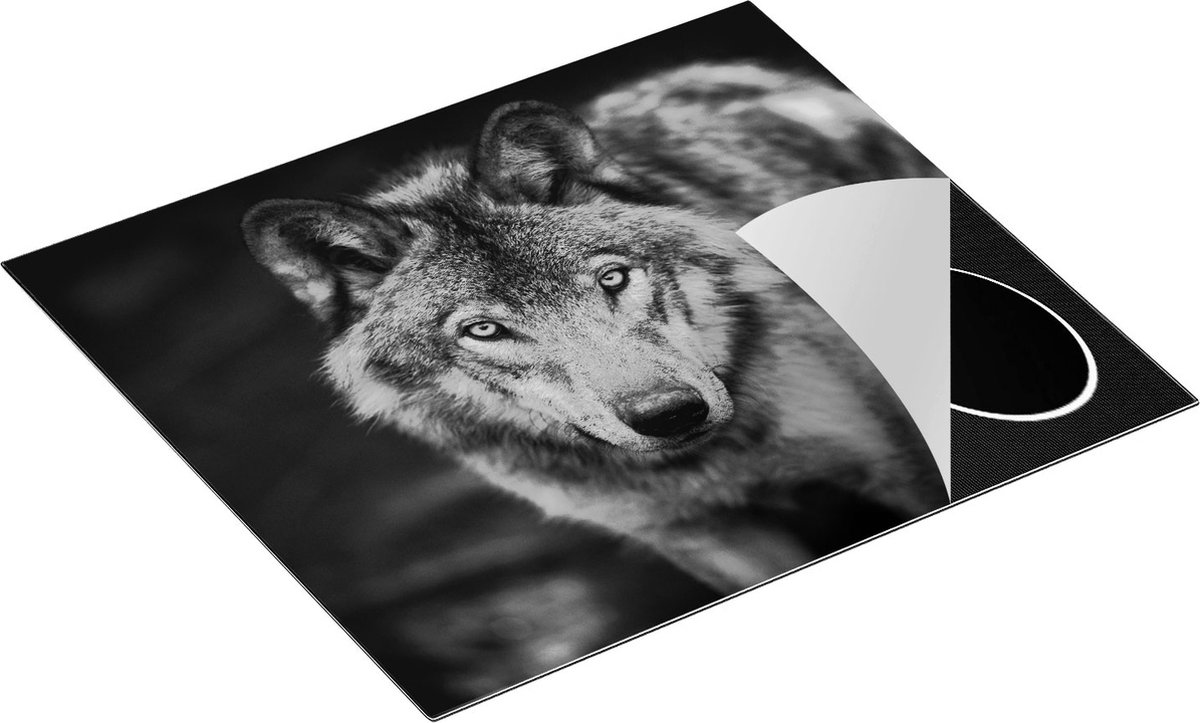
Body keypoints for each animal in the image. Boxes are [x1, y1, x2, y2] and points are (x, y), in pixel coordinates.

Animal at [242, 63, 948, 593]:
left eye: (612, 279)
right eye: (484, 331)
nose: (670, 414)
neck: (708, 463)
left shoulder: (898, 464)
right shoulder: (703, 537)